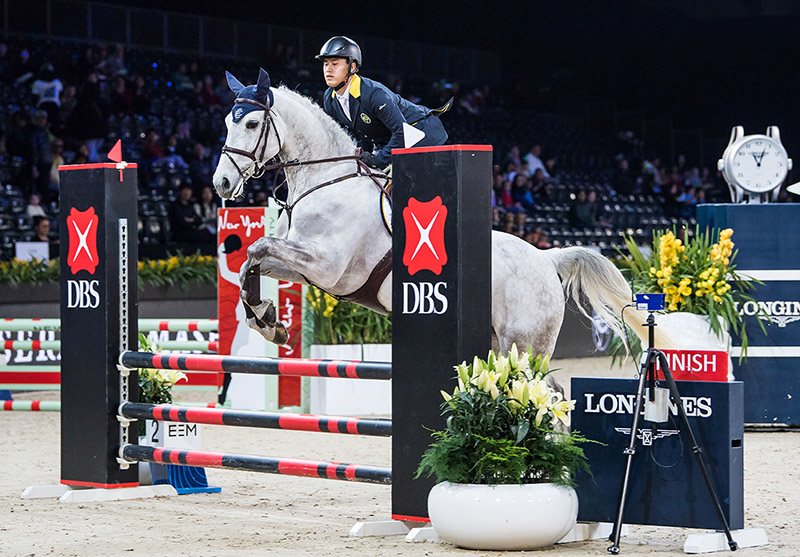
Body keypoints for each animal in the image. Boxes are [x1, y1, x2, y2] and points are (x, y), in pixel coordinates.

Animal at [212, 69, 676, 356]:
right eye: (226, 121)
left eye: (250, 124)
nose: (221, 184)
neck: (326, 179)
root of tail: (546, 258)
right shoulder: (304, 268)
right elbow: (252, 261)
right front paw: (268, 320)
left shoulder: (326, 266)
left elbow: (257, 247)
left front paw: (267, 321)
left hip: (525, 343)